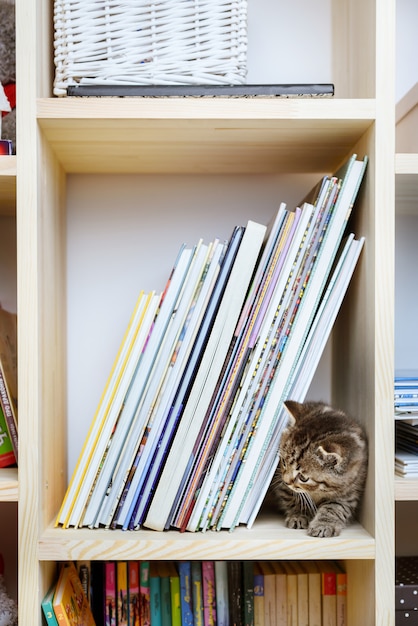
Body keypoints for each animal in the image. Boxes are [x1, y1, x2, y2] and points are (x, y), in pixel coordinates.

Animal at [272, 400, 366, 536]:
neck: (317, 490)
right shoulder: (281, 482)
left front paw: (323, 525)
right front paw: (298, 515)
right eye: (284, 462)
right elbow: (292, 497)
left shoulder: (350, 489)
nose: (286, 481)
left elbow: (335, 507)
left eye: (303, 477)